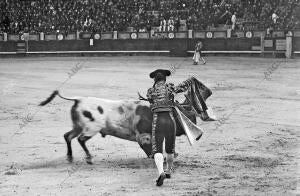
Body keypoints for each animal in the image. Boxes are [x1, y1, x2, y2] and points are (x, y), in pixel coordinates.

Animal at [39, 90, 195, 164]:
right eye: (180, 115)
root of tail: (78, 99)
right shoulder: (144, 137)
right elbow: (151, 150)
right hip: (91, 128)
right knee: (81, 139)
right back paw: (89, 158)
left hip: (77, 126)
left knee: (68, 136)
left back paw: (70, 157)